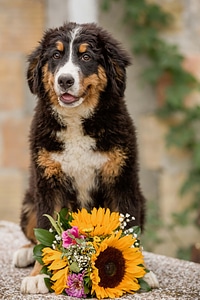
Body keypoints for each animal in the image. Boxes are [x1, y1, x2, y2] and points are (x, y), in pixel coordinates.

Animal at [13, 22, 158, 294]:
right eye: (56, 55)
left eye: (86, 57)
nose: (65, 80)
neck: (76, 121)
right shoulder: (48, 182)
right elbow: (46, 231)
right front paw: (39, 275)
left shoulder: (121, 179)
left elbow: (129, 233)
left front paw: (141, 272)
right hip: (30, 199)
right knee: (32, 232)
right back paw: (25, 253)